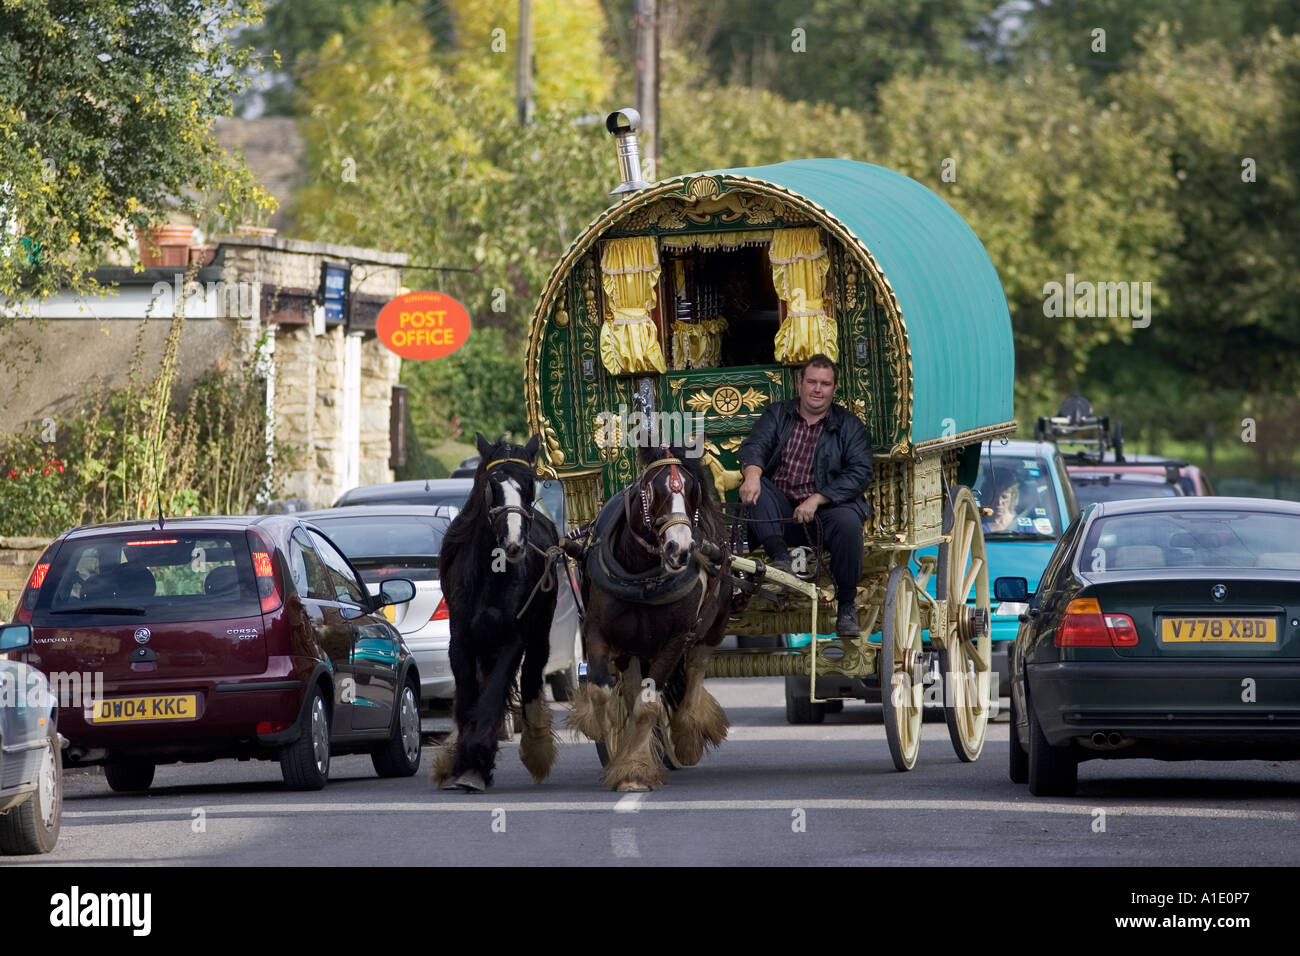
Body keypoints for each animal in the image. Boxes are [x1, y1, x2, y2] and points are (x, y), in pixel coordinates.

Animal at [436, 434, 559, 790]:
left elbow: (491, 698)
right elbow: (468, 700)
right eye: (492, 483)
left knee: (531, 677)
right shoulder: (461, 641)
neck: (490, 575)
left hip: (540, 632)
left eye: (530, 483)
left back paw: (535, 747)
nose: (514, 543)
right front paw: (464, 764)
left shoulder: (512, 639)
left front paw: (476, 761)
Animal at [569, 444, 733, 790]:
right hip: (632, 648)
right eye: (651, 491)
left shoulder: (674, 641)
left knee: (696, 668)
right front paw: (603, 728)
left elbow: (647, 705)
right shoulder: (597, 629)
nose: (679, 549)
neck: (642, 576)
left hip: (714, 623)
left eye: (693, 492)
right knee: (631, 687)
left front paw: (634, 768)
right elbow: (602, 691)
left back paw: (687, 733)